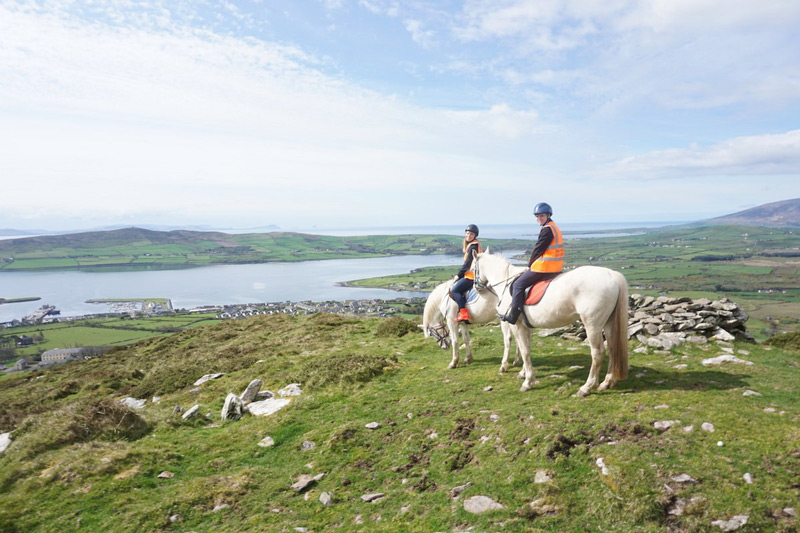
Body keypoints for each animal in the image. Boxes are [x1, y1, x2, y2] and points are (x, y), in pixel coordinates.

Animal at [472, 249, 628, 394]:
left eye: (473, 268)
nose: (476, 288)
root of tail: (611, 275)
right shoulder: (525, 326)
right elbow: (526, 348)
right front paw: (523, 373)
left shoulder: (516, 325)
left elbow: (523, 350)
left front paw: (527, 381)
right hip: (609, 323)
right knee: (612, 349)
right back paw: (606, 383)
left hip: (592, 324)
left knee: (598, 353)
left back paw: (587, 387)